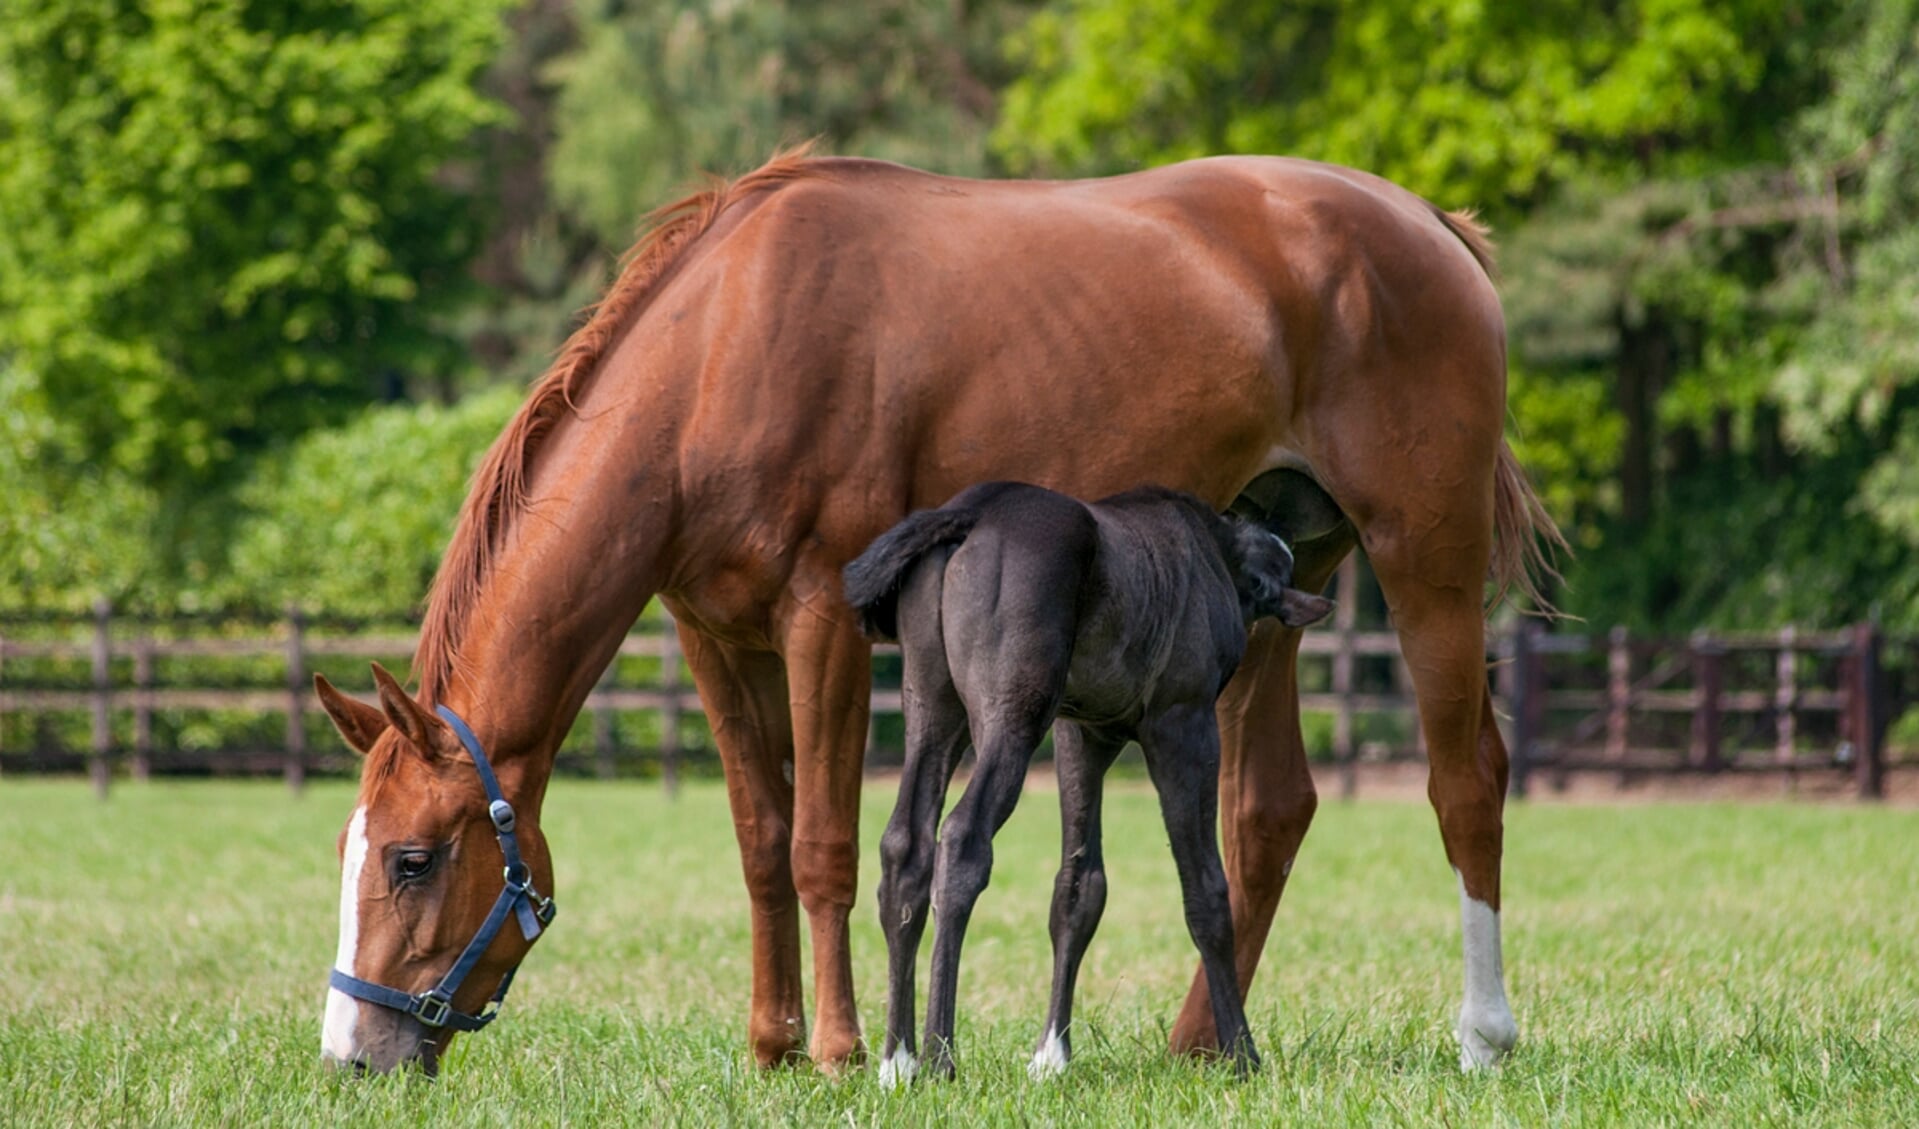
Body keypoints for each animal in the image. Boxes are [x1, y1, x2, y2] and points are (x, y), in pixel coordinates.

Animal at [848, 480, 1327, 1082]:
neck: (1217, 552)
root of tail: (973, 510)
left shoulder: (1083, 732)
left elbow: (1078, 887)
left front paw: (1052, 1055)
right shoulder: (1183, 722)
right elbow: (1206, 888)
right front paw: (1242, 1054)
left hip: (933, 707)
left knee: (905, 844)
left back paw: (899, 1059)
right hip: (1013, 714)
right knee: (962, 839)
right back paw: (940, 1057)